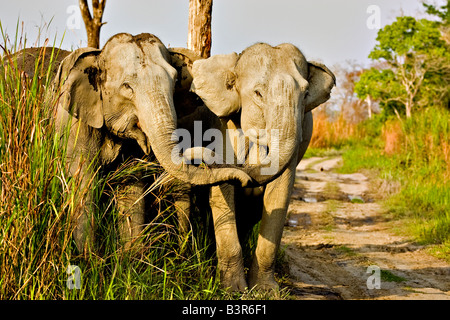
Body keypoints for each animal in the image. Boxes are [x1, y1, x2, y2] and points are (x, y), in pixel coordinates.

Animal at [51, 32, 253, 252]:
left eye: (175, 82)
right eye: (127, 86)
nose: (246, 181)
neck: (98, 55)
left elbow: (132, 189)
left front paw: (130, 257)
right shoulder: (71, 126)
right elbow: (83, 183)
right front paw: (88, 258)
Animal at [171, 42, 336, 290]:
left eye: (306, 94)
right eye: (258, 93)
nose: (192, 154)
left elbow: (279, 193)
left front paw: (265, 291)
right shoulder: (222, 127)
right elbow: (223, 190)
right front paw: (233, 290)